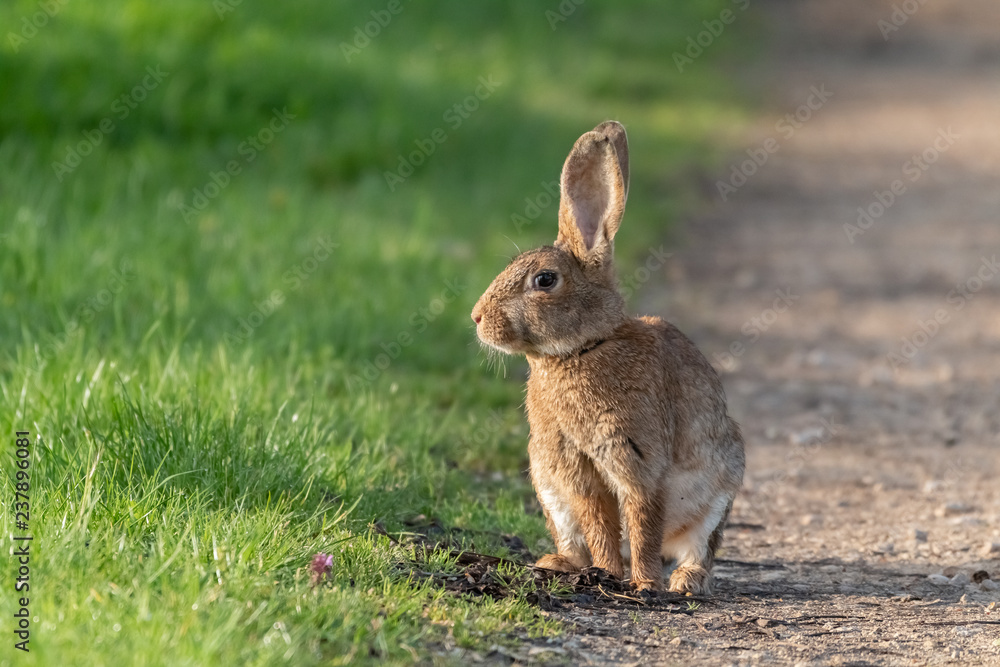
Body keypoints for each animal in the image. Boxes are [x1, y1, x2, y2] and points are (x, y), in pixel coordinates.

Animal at [470, 121, 745, 594]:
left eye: (545, 280)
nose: (477, 318)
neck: (583, 348)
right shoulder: (576, 471)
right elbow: (600, 523)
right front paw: (609, 574)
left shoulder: (638, 462)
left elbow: (640, 519)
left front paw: (643, 584)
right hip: (549, 490)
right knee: (576, 537)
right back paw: (560, 565)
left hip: (720, 489)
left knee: (696, 548)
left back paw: (683, 581)